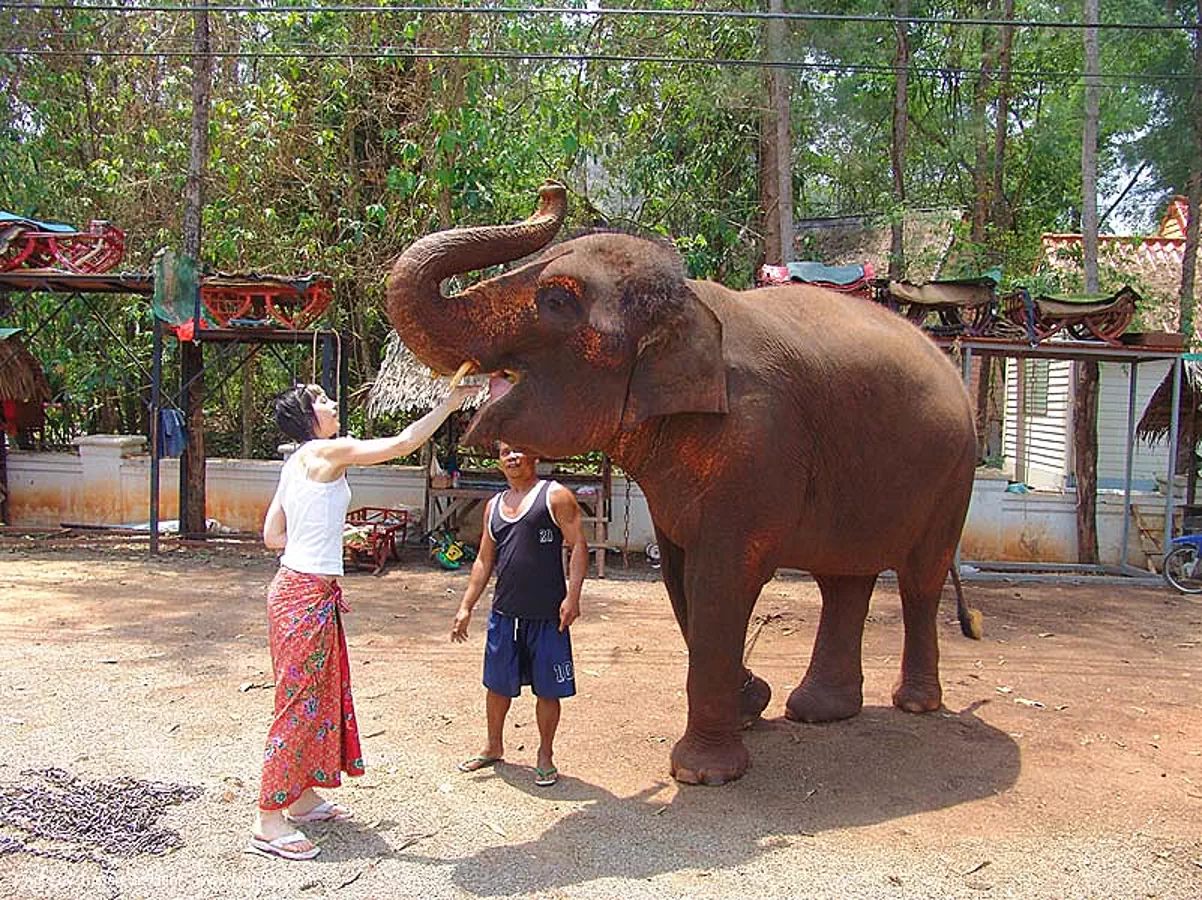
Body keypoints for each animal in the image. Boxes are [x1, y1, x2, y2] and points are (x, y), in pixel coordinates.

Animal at [386, 182, 980, 786]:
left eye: (556, 301)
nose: (551, 190)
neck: (689, 302)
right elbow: (681, 578)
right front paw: (751, 705)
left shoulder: (758, 443)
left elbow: (720, 579)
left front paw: (701, 774)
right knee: (844, 580)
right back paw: (816, 710)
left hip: (957, 473)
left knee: (919, 579)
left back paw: (914, 703)